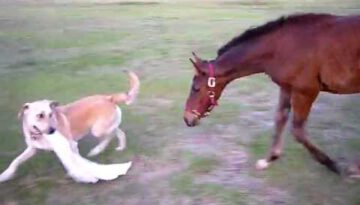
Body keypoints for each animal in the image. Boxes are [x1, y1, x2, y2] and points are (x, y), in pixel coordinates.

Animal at [0, 71, 139, 183]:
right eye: (40, 115)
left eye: (51, 114)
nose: (52, 130)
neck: (38, 135)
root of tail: (109, 97)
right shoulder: (32, 149)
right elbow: (15, 161)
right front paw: (5, 175)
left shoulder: (70, 144)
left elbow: (75, 161)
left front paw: (82, 174)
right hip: (102, 128)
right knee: (118, 132)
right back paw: (117, 147)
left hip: (97, 130)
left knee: (112, 134)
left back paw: (97, 150)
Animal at [183, 12, 360, 174]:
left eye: (196, 88)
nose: (187, 119)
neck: (283, 46)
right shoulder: (287, 87)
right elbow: (280, 119)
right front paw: (268, 159)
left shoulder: (306, 91)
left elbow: (298, 130)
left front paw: (332, 164)